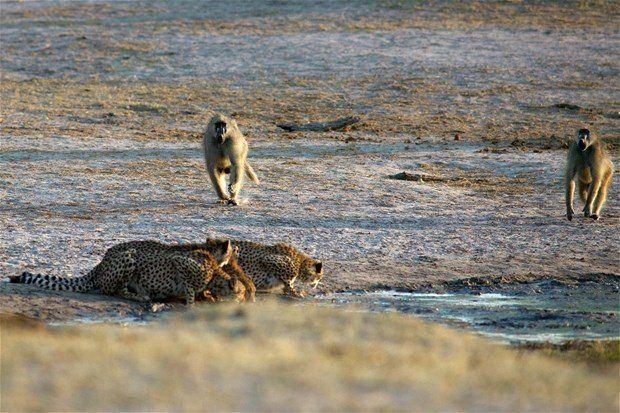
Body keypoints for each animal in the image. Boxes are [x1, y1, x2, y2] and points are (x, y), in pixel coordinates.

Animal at [9, 238, 237, 302]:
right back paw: (141, 296)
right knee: (111, 290)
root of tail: (100, 264)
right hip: (129, 257)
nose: (234, 257)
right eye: (231, 255)